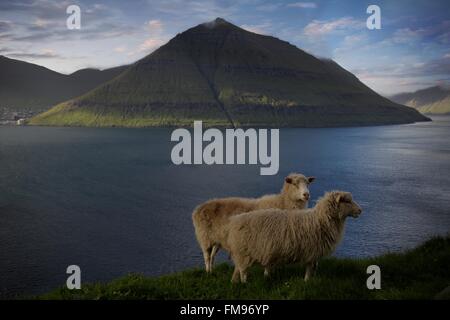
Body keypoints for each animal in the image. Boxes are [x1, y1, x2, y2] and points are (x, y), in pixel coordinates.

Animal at [225, 190, 362, 282]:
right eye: (347, 201)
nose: (360, 210)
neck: (321, 220)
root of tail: (234, 221)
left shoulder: (314, 252)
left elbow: (314, 266)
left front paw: (312, 278)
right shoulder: (311, 250)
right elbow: (309, 267)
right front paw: (307, 281)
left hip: (241, 253)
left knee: (238, 268)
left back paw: (235, 282)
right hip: (244, 253)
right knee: (243, 271)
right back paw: (245, 283)